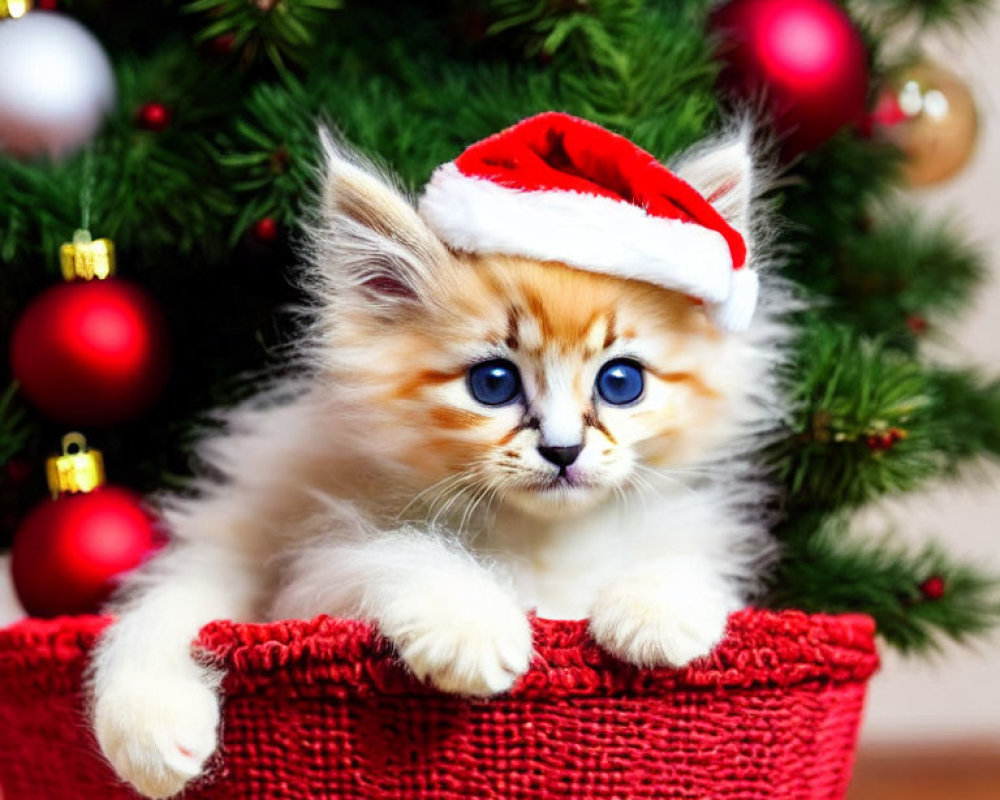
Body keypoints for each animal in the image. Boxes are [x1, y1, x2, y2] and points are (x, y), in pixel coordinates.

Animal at [90, 128, 784, 796]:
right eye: (494, 384)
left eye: (621, 383)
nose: (563, 450)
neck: (541, 542)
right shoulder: (313, 577)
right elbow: (395, 551)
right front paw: (468, 624)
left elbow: (682, 554)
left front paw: (660, 608)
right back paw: (151, 733)